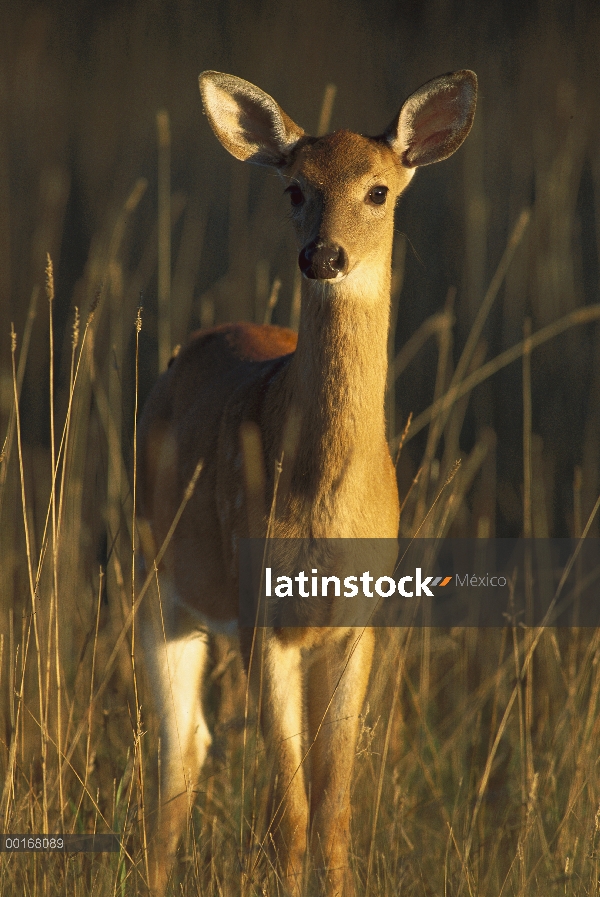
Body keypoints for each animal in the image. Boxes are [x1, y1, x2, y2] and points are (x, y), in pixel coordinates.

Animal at [137, 66, 478, 892]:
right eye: (295, 187)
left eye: (380, 189)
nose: (324, 257)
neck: (324, 501)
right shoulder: (262, 609)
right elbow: (290, 812)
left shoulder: (358, 621)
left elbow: (334, 810)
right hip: (162, 581)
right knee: (180, 751)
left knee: (202, 749)